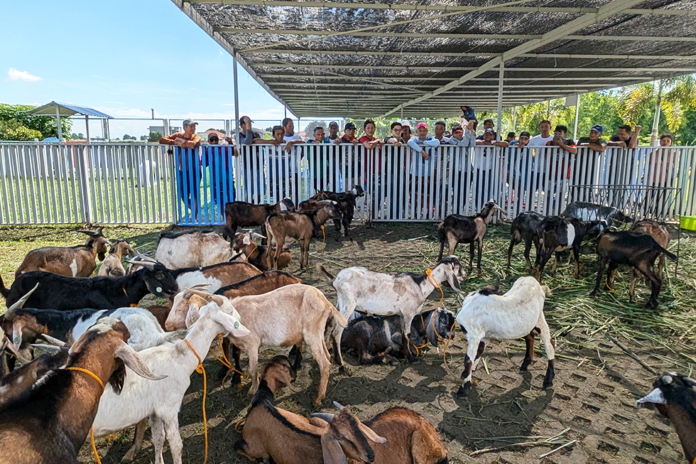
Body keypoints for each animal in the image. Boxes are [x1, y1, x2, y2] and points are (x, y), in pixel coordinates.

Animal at [91, 294, 250, 464]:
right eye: (230, 310)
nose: (240, 318)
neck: (178, 358)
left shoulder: (155, 411)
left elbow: (158, 438)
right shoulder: (169, 408)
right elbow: (176, 444)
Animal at [174, 286, 348, 406]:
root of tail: (326, 302)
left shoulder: (252, 343)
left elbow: (252, 369)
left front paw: (253, 389)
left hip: (311, 332)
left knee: (324, 362)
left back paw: (318, 399)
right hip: (317, 333)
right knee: (327, 356)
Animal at [318, 256, 464, 364]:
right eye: (458, 266)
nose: (464, 274)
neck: (420, 285)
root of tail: (335, 279)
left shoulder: (402, 315)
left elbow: (403, 335)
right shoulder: (408, 313)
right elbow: (407, 335)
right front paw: (411, 357)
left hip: (340, 304)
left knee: (329, 325)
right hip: (348, 305)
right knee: (336, 332)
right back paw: (341, 363)